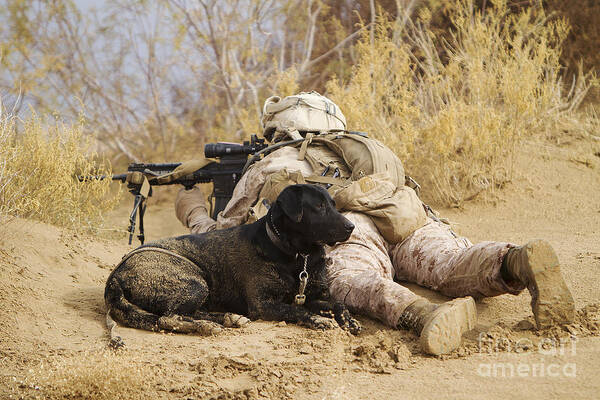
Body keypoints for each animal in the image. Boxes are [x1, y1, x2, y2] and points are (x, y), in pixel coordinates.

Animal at [103, 183, 358, 346]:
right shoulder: (263, 305)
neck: (297, 255)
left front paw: (348, 319)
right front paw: (318, 319)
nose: (351, 227)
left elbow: (338, 304)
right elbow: (297, 310)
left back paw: (228, 318)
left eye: (333, 204)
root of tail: (115, 276)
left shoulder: (312, 296)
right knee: (169, 318)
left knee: (189, 313)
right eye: (319, 207)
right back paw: (207, 326)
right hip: (194, 283)